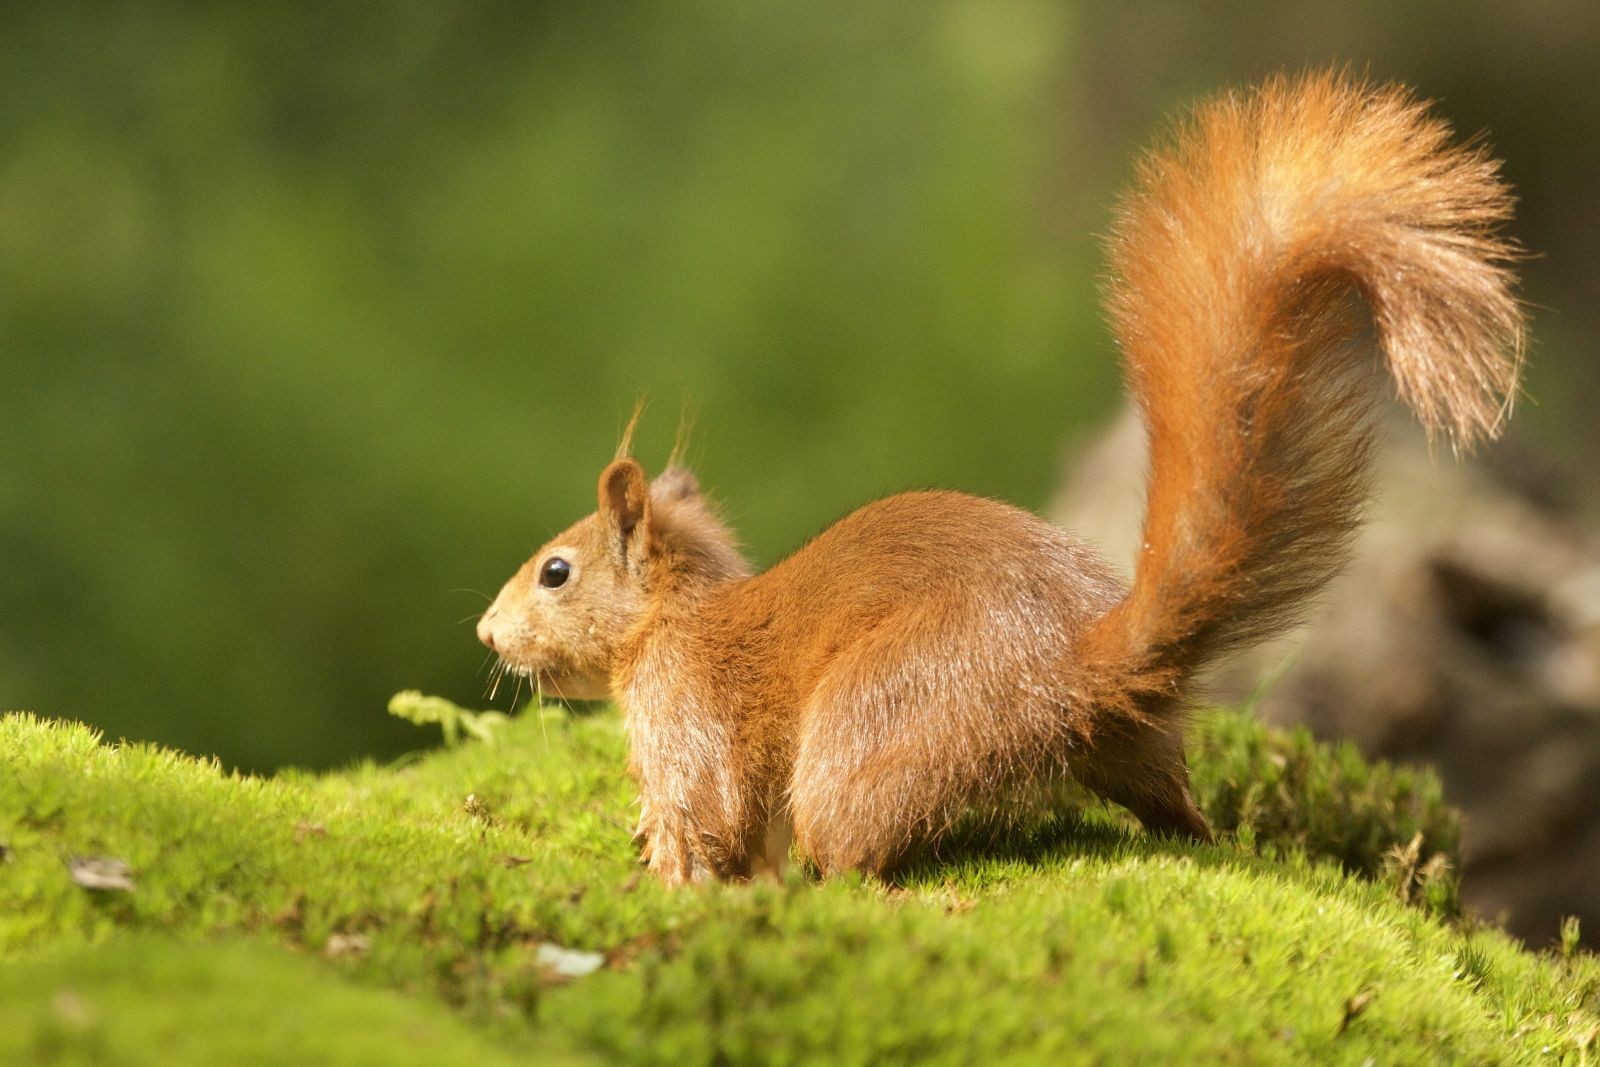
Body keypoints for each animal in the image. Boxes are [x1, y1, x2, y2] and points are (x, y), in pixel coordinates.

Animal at [473, 70, 1523, 883]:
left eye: (556, 571)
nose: (484, 631)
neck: (674, 618)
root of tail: (1073, 665)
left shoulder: (688, 713)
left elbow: (707, 814)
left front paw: (666, 870)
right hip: (1130, 747)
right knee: (1175, 807)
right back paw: (1209, 837)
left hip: (877, 724)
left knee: (854, 845)